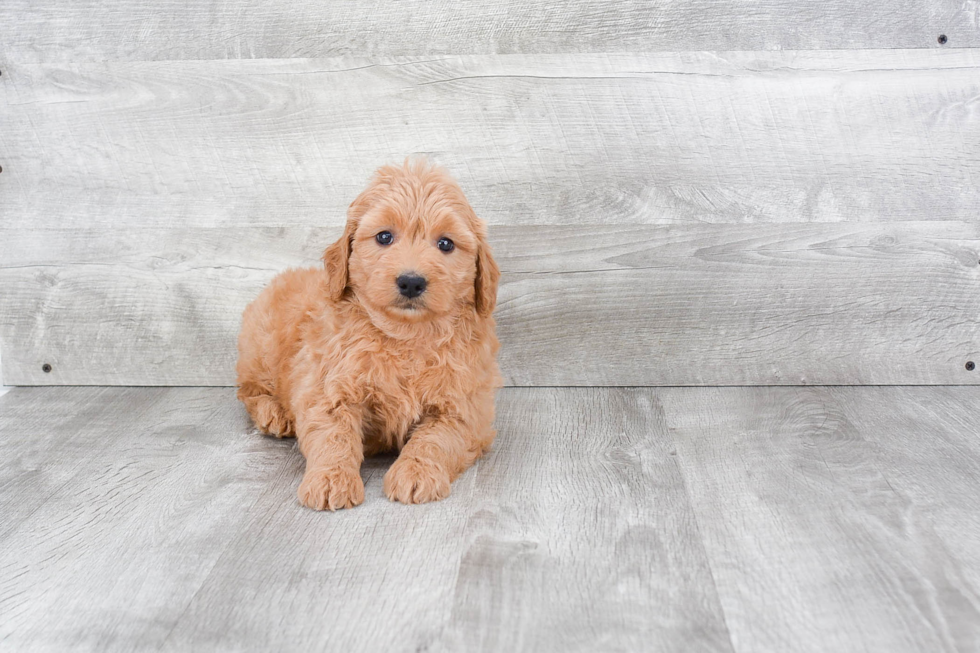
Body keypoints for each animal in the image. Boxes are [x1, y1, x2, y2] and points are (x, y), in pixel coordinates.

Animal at [234, 158, 502, 510]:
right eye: (384, 237)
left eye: (445, 243)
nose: (411, 281)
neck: (405, 335)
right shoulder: (327, 389)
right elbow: (334, 436)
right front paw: (330, 479)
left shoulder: (465, 408)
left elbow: (434, 439)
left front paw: (415, 472)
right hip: (259, 345)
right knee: (249, 390)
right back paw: (274, 413)